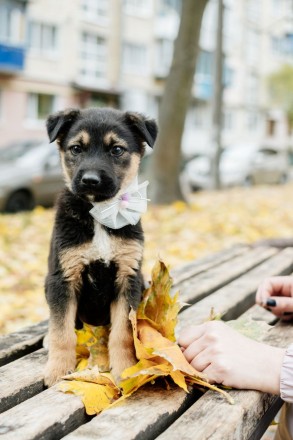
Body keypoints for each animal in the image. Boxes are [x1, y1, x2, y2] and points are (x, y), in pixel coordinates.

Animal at [44, 106, 157, 384]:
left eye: (116, 149)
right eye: (76, 148)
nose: (91, 180)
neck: (100, 214)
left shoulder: (128, 277)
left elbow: (123, 332)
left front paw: (125, 369)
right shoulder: (63, 277)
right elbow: (61, 331)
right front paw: (58, 369)